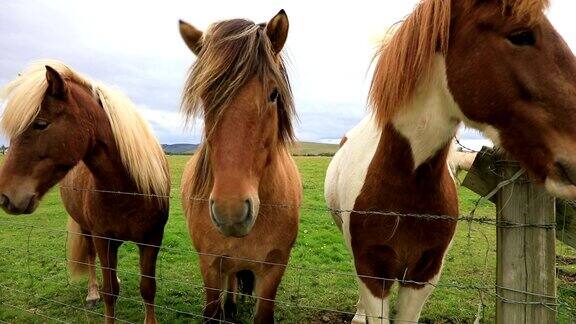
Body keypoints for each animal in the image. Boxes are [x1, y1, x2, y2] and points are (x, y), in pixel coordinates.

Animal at [0, 60, 170, 324]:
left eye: (41, 124)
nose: (6, 197)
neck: (127, 192)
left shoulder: (152, 239)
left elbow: (148, 289)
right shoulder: (103, 238)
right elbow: (110, 292)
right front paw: (101, 296)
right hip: (87, 230)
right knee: (91, 258)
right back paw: (92, 293)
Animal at [178, 10, 300, 324]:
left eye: (274, 94)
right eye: (205, 97)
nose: (230, 211)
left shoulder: (274, 268)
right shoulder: (209, 264)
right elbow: (213, 309)